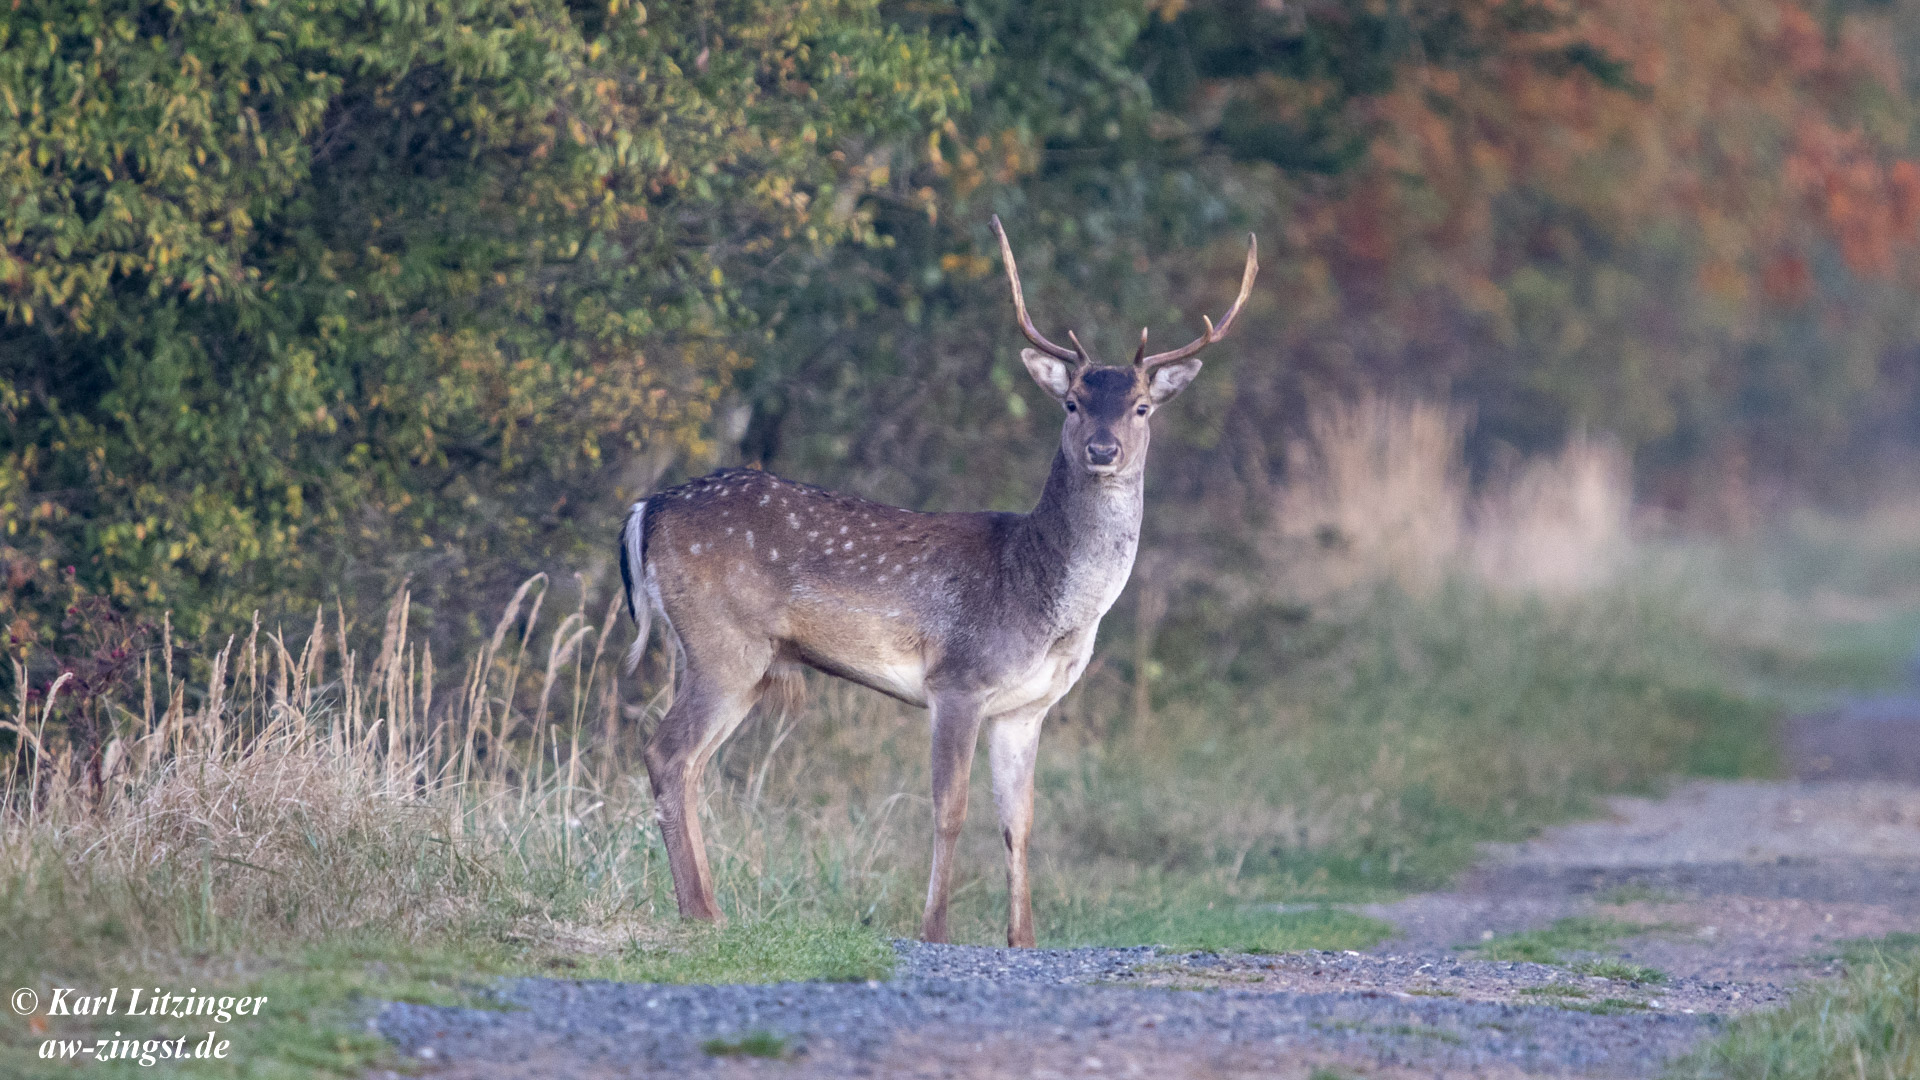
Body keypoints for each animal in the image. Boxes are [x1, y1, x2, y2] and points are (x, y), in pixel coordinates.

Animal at [618, 219, 1259, 941]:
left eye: (1143, 407)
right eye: (1071, 402)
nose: (1103, 449)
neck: (1046, 598)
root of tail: (647, 510)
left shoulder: (1026, 707)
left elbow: (1019, 823)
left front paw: (1022, 939)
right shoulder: (958, 678)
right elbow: (949, 809)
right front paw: (935, 929)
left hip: (740, 660)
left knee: (689, 762)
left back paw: (710, 907)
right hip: (723, 643)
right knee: (667, 753)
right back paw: (702, 912)